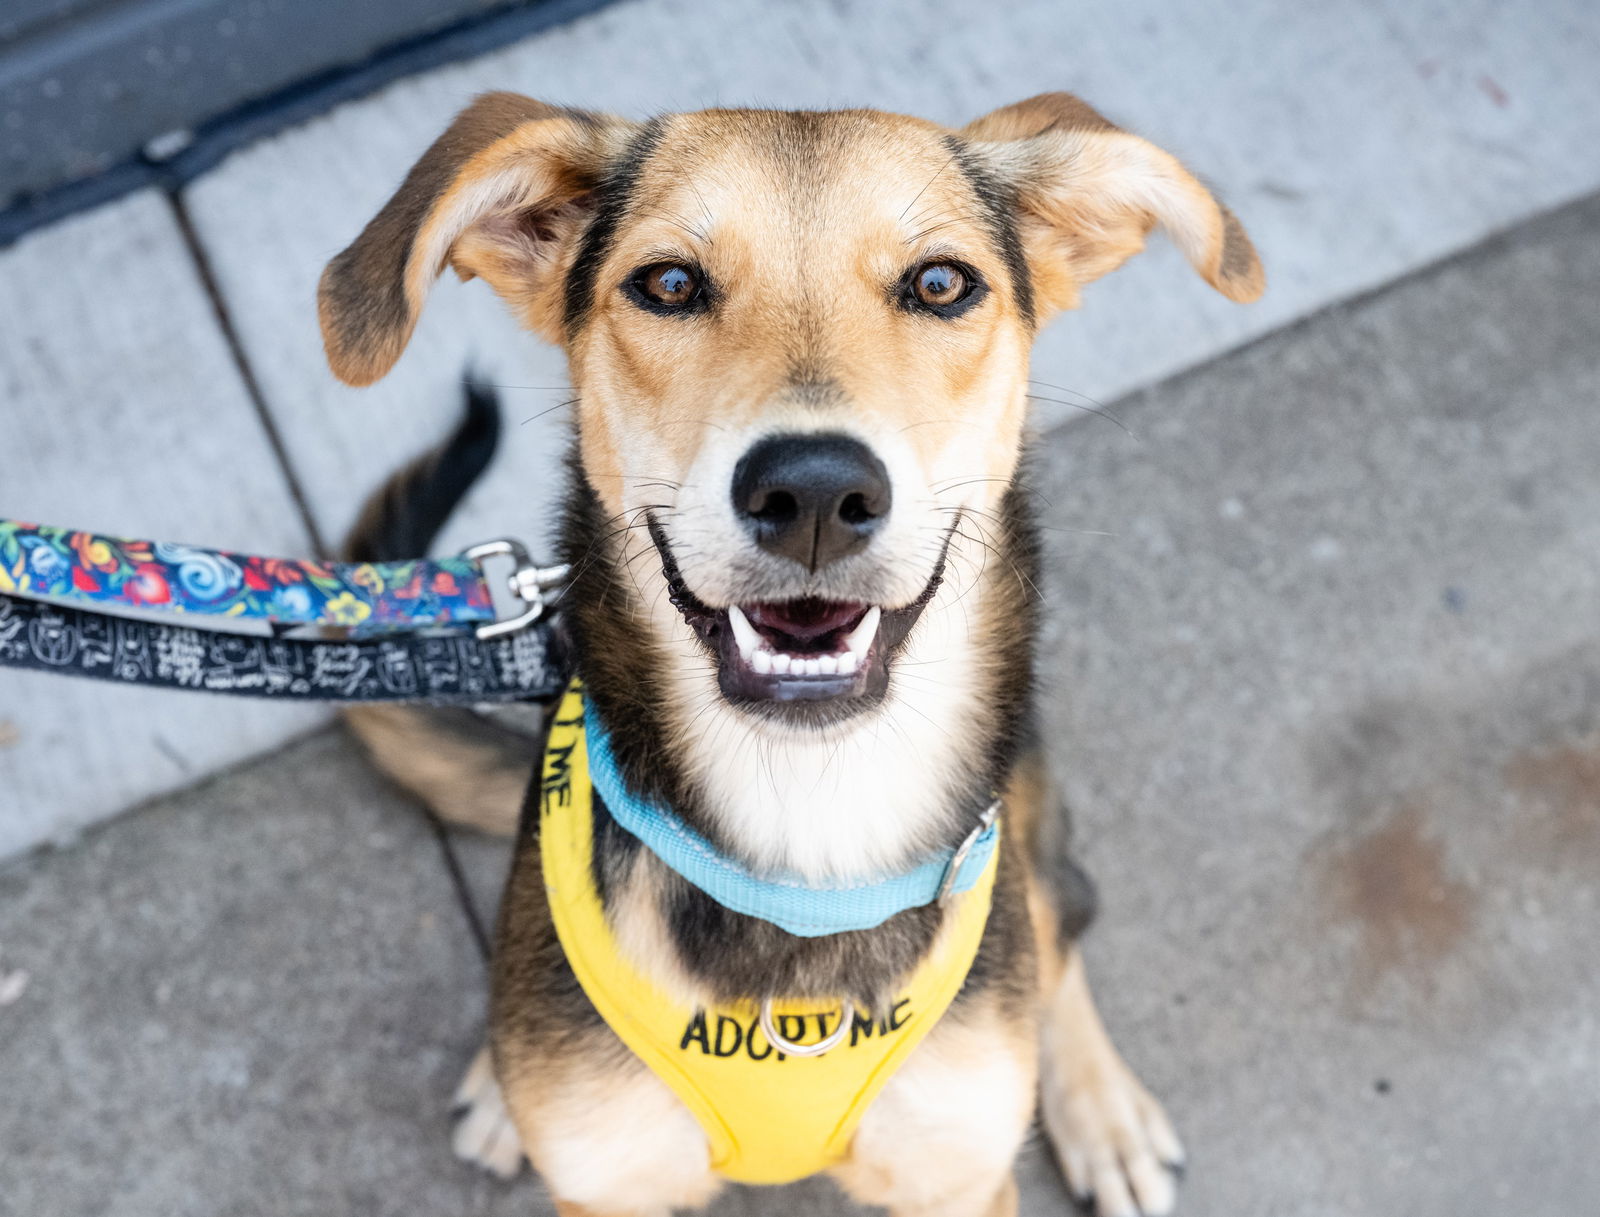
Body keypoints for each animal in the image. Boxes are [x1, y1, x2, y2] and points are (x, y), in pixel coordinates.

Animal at [315, 87, 1260, 1215]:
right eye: (669, 283)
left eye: (941, 283)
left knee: (1057, 921)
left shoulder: (955, 1177)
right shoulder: (609, 1183)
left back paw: (1098, 1106)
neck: (808, 822)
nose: (813, 491)